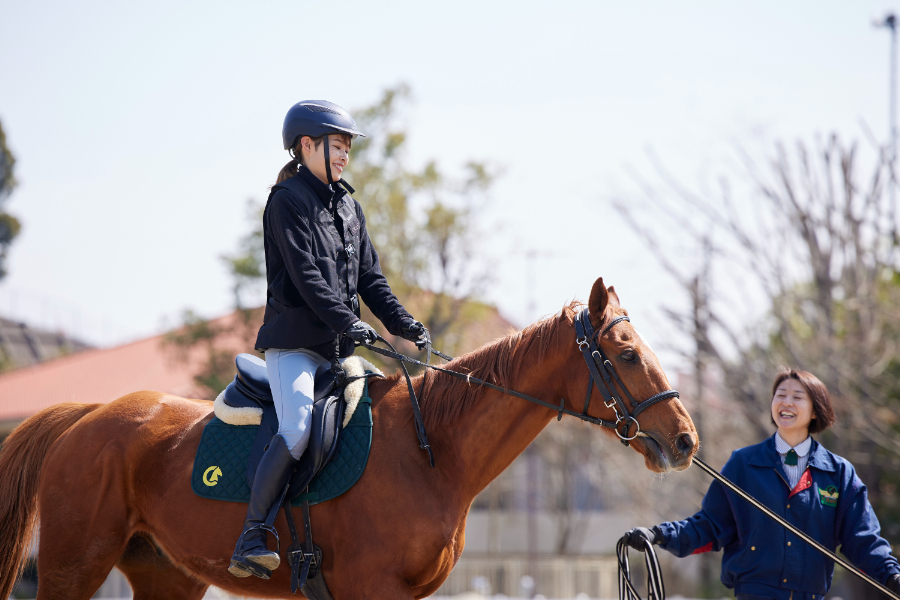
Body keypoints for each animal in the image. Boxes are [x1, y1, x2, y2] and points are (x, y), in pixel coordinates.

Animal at [0, 277, 697, 600]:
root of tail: (88, 415)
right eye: (627, 354)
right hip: (71, 568)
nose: (687, 441)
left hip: (164, 576)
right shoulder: (375, 588)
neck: (430, 452)